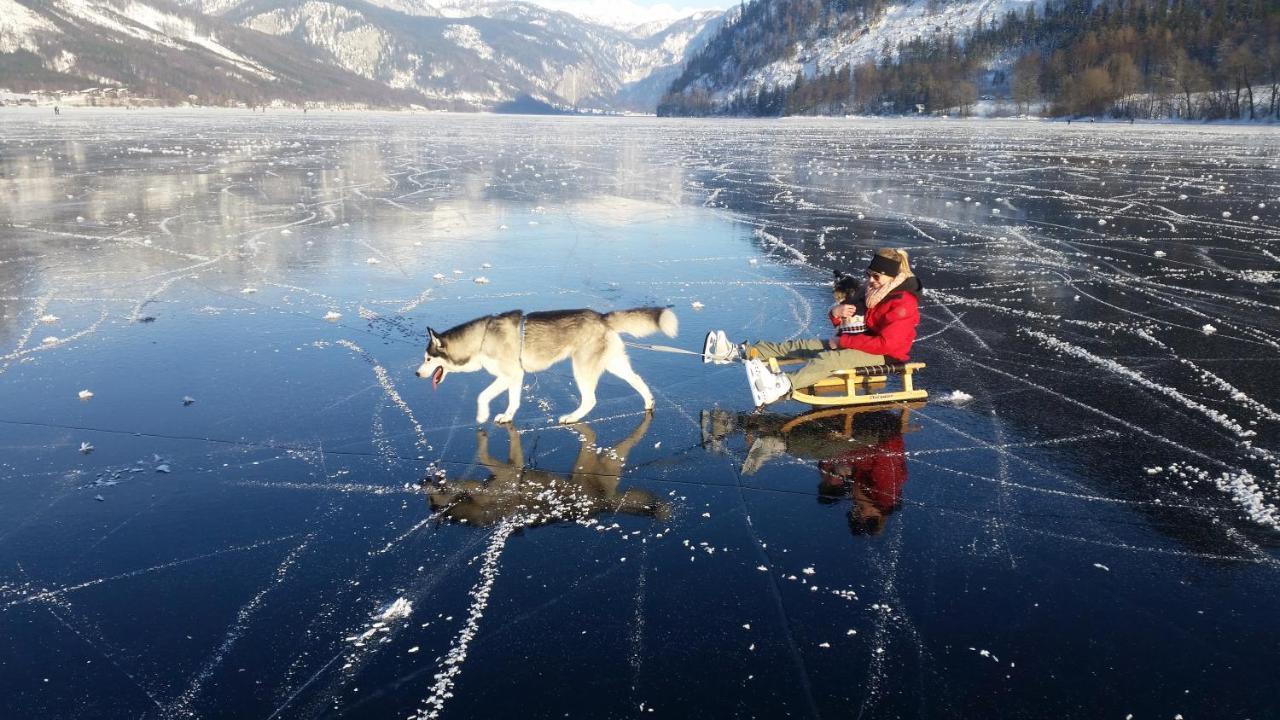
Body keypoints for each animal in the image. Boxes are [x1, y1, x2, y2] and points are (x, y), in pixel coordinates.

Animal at [419, 304, 680, 422]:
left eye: (428, 359)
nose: (416, 374)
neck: (481, 339)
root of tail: (601, 316)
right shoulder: (515, 377)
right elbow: (512, 400)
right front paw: (508, 416)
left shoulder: (510, 374)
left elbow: (482, 396)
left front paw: (482, 416)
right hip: (615, 364)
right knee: (638, 380)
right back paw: (649, 402)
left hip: (581, 368)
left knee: (590, 399)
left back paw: (573, 417)